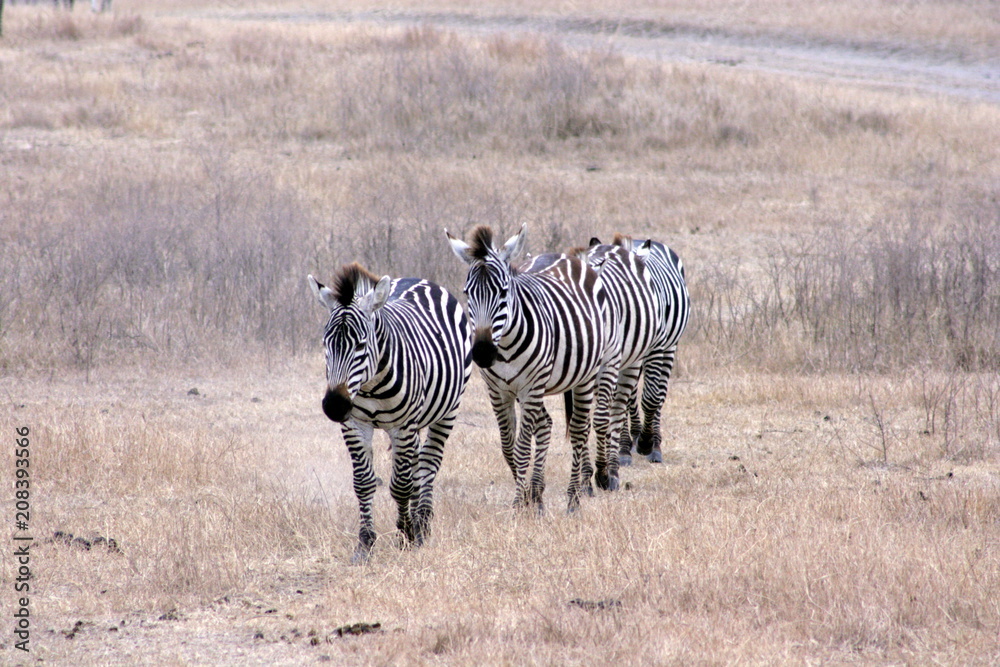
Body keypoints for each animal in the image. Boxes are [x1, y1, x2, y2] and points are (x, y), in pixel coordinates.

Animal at [308, 263, 472, 563]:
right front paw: (365, 543)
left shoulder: (403, 426)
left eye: (361, 345)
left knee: (428, 463)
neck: (370, 385)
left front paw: (406, 535)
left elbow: (401, 485)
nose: (335, 406)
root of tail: (418, 279)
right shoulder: (355, 425)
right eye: (326, 344)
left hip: (447, 411)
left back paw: (423, 524)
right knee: (417, 463)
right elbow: (363, 483)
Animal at [446, 224, 610, 512]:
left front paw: (518, 505)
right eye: (467, 293)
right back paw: (538, 493)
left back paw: (573, 498)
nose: (482, 352)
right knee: (546, 424)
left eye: (503, 291)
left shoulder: (530, 388)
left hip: (584, 376)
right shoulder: (498, 391)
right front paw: (526, 498)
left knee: (579, 430)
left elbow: (522, 447)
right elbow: (508, 446)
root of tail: (568, 257)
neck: (505, 348)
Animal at [573, 238, 662, 491]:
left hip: (625, 363)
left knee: (615, 408)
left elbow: (603, 417)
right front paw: (587, 480)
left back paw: (611, 469)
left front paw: (601, 474)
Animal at [592, 235, 690, 464]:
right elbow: (622, 399)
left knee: (659, 392)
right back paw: (631, 440)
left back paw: (654, 443)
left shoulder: (657, 347)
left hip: (669, 347)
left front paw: (647, 442)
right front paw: (624, 446)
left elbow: (651, 397)